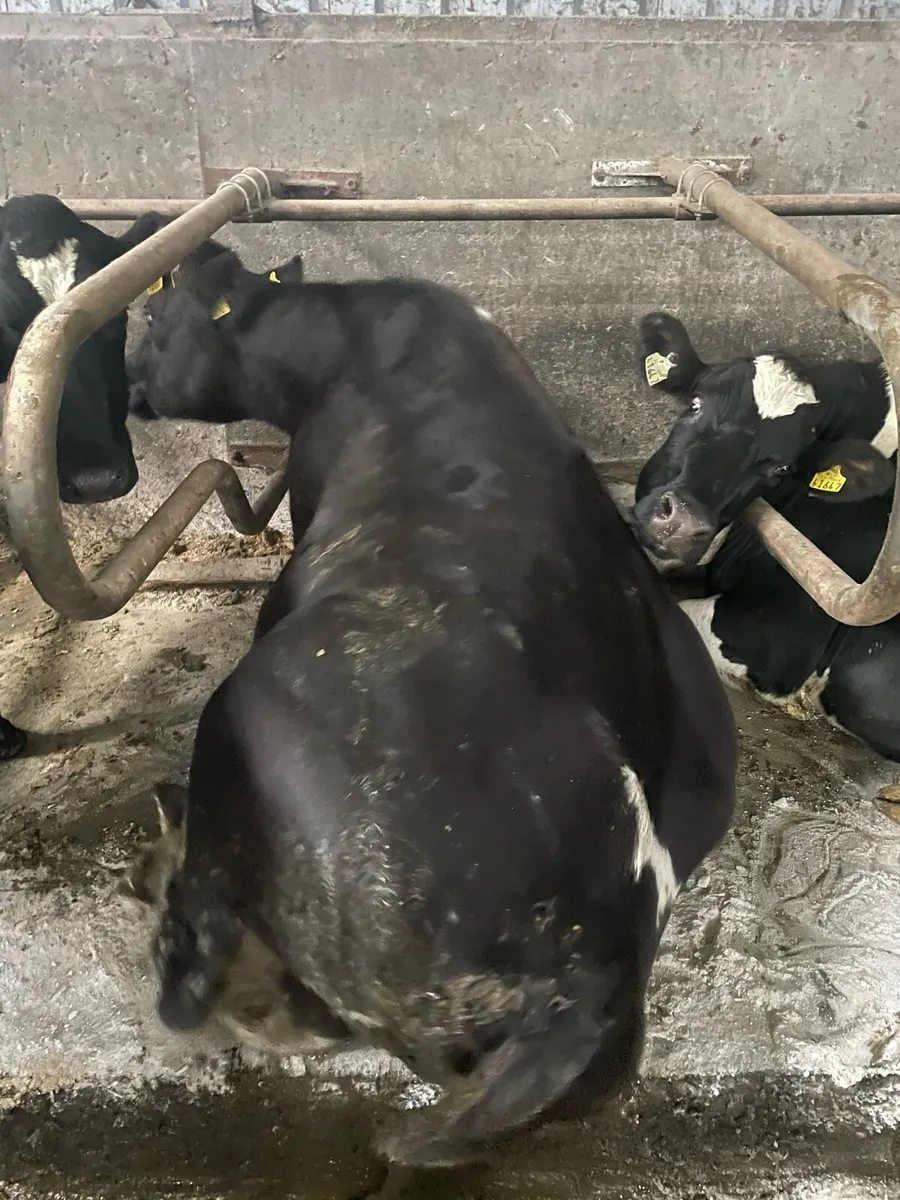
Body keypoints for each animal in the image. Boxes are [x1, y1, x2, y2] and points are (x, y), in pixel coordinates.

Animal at [125, 252, 737, 1181]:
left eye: (156, 321)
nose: (129, 384)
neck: (346, 342)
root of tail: (596, 973)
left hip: (246, 730)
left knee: (223, 963)